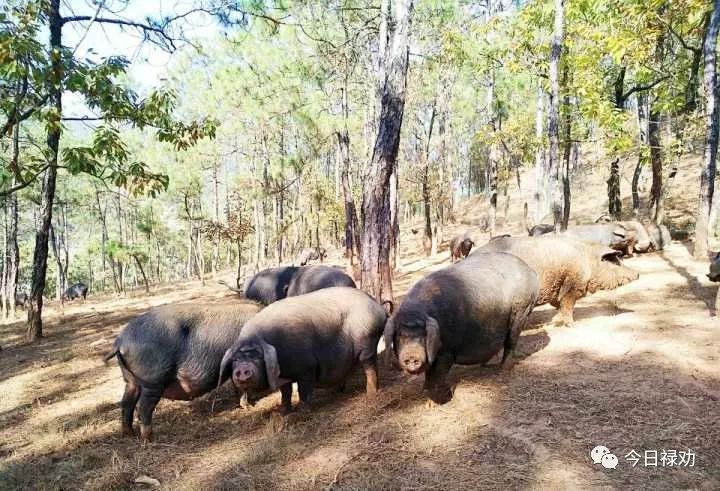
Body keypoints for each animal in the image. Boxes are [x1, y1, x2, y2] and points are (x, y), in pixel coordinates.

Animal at [105, 302, 262, 444]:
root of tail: (120, 342)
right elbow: (240, 386)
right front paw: (249, 406)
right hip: (153, 380)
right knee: (142, 407)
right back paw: (150, 439)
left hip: (130, 380)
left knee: (126, 403)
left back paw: (129, 434)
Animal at [386, 252, 536, 406]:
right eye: (399, 335)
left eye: (424, 336)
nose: (411, 355)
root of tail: (530, 270)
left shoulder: (447, 351)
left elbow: (434, 379)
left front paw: (446, 397)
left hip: (522, 310)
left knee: (511, 342)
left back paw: (503, 369)